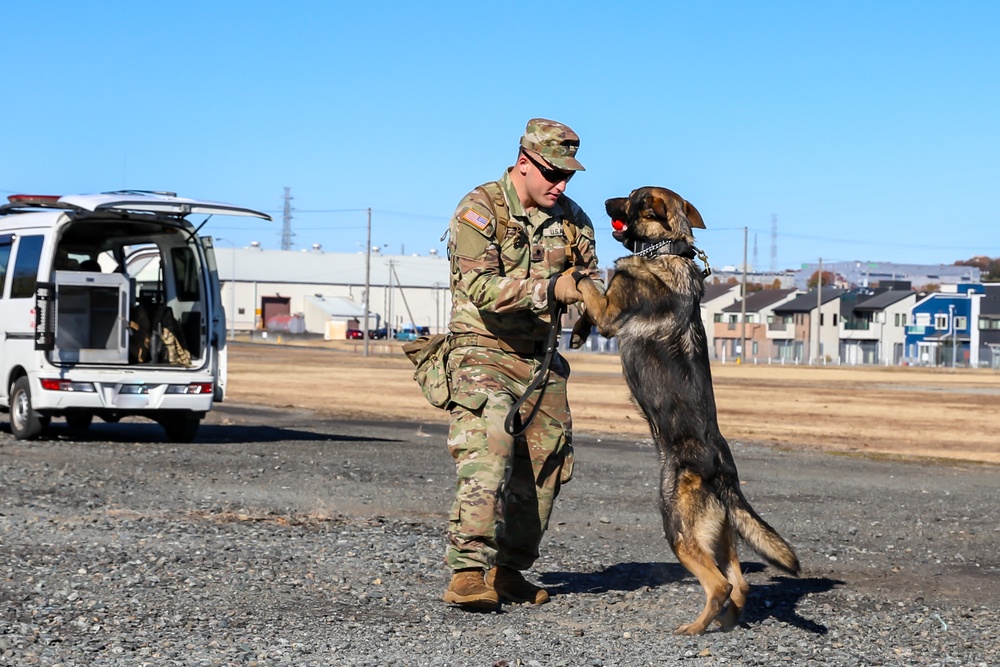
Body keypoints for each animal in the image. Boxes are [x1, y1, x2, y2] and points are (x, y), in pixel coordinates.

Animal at [576, 185, 800, 636]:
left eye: (631, 196)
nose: (605, 202)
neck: (667, 250)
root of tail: (722, 470)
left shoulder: (608, 314)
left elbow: (589, 285)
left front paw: (570, 271)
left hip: (677, 525)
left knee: (720, 585)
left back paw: (695, 629)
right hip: (719, 530)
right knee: (740, 585)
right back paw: (727, 623)